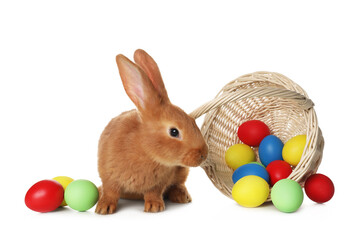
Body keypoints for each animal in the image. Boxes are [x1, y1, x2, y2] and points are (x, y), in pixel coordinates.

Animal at [95, 49, 209, 214]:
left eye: (193, 120)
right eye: (174, 132)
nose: (203, 154)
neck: (145, 149)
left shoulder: (158, 183)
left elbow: (153, 193)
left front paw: (154, 207)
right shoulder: (109, 175)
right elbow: (110, 191)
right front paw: (104, 208)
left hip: (182, 171)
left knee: (178, 184)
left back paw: (182, 196)